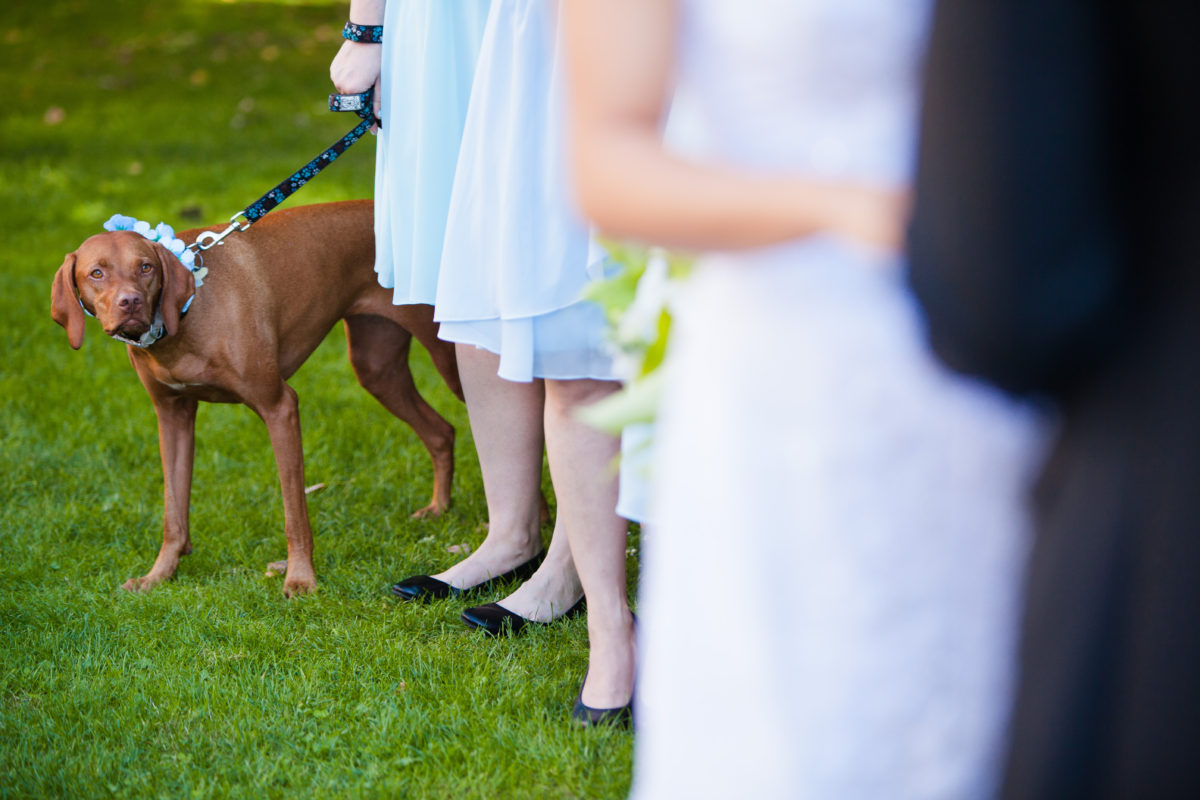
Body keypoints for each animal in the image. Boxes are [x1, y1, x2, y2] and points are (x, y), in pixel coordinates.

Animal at [50, 203, 458, 597]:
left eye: (145, 267)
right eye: (96, 273)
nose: (131, 302)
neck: (189, 310)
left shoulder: (279, 407)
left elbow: (294, 514)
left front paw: (300, 579)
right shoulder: (172, 417)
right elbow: (173, 514)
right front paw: (159, 576)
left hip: (447, 355)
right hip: (378, 369)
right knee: (442, 432)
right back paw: (440, 510)